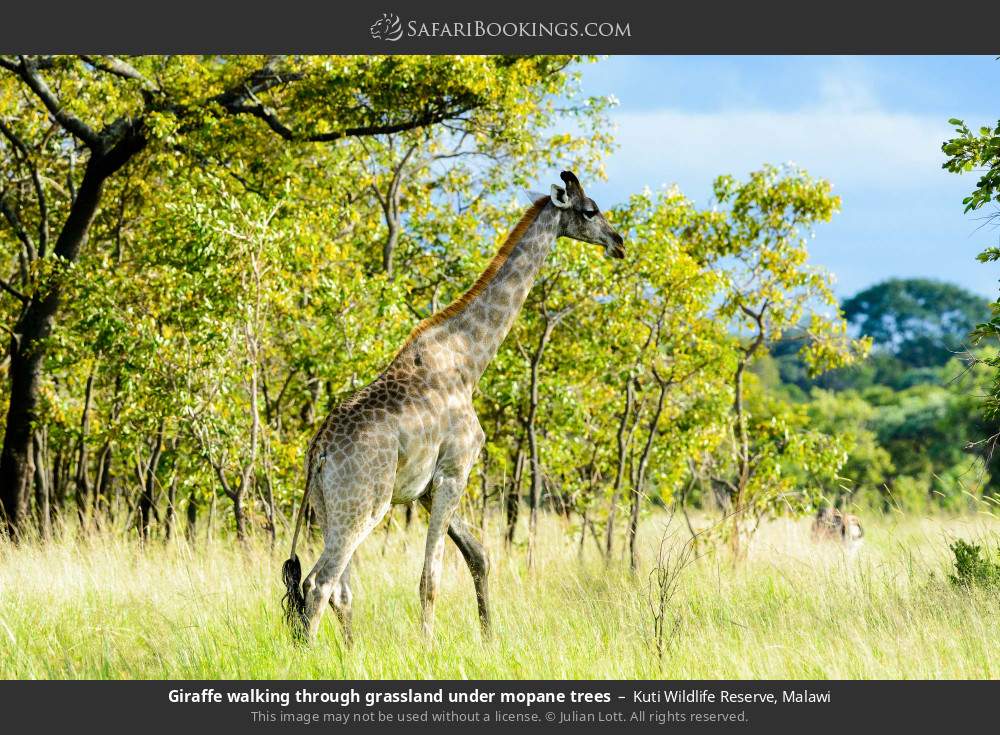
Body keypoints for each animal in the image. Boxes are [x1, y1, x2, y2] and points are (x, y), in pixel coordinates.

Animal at [281, 170, 625, 643]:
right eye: (590, 210)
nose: (618, 241)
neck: (469, 361)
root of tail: (319, 452)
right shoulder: (453, 472)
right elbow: (431, 577)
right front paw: (428, 646)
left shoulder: (427, 488)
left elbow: (479, 555)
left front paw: (489, 637)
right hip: (365, 504)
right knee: (319, 583)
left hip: (328, 508)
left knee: (339, 589)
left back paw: (346, 653)